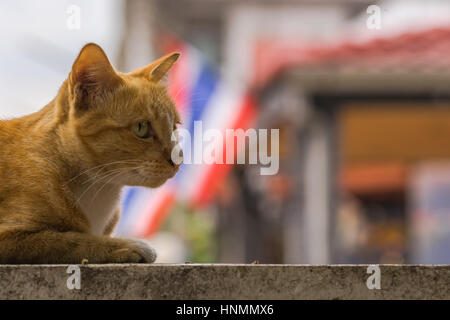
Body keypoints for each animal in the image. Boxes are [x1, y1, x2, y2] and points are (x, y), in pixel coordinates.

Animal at [0, 43, 183, 262]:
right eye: (141, 128)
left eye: (174, 128)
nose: (178, 160)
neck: (100, 188)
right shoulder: (9, 237)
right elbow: (70, 240)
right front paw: (128, 245)